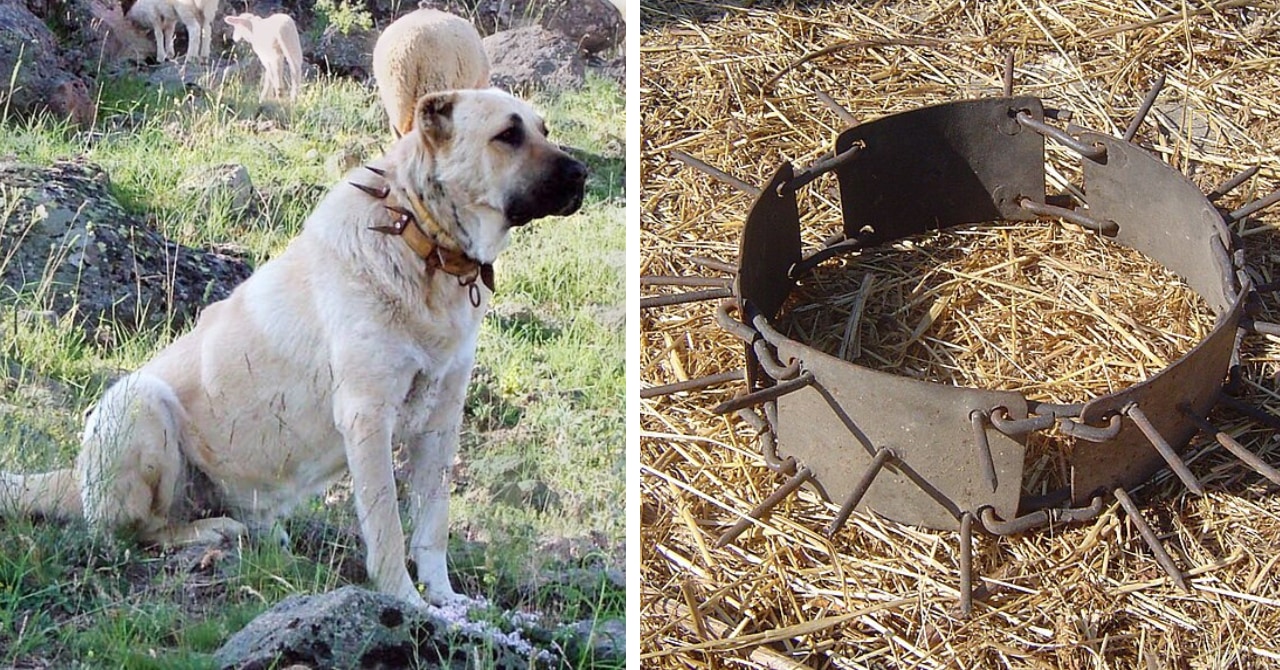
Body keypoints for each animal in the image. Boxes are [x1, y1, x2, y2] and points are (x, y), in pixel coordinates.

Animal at [0, 89, 588, 607]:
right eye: (508, 134)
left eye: (543, 129)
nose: (582, 175)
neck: (423, 244)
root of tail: (74, 477)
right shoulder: (367, 416)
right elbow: (389, 528)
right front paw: (403, 600)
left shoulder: (441, 424)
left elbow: (433, 528)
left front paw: (446, 601)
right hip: (139, 401)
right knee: (136, 530)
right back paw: (212, 531)